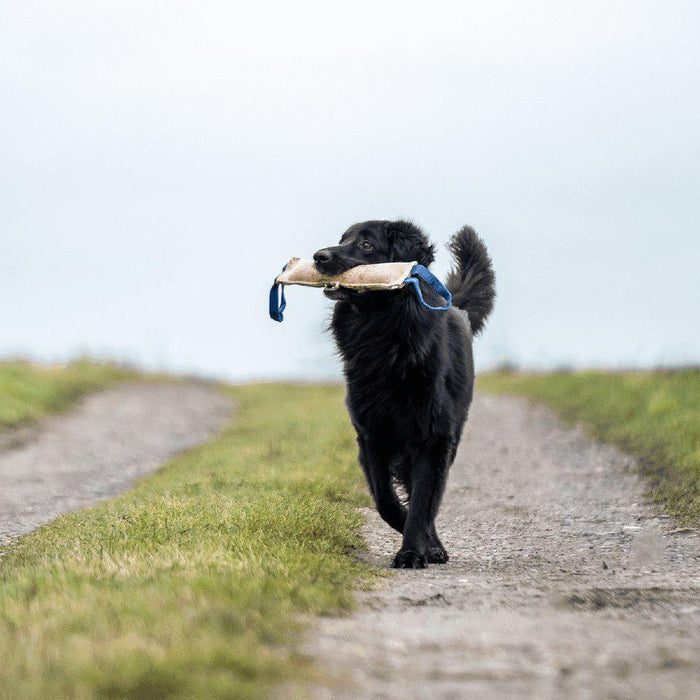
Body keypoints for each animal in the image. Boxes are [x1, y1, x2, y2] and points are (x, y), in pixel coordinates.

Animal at [314, 220, 494, 568]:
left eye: (367, 244)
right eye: (343, 239)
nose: (318, 256)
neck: (384, 331)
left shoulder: (433, 438)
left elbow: (423, 502)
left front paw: (413, 551)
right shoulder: (371, 436)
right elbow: (386, 500)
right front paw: (417, 541)